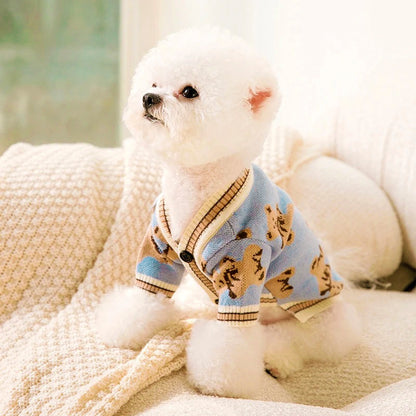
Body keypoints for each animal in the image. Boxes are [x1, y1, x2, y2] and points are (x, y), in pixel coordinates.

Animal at [96, 27, 360, 398]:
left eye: (189, 92)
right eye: (154, 83)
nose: (148, 98)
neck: (195, 186)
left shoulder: (244, 266)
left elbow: (230, 339)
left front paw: (217, 379)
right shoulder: (159, 249)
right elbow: (147, 294)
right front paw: (126, 325)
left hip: (316, 306)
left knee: (308, 335)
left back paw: (277, 355)